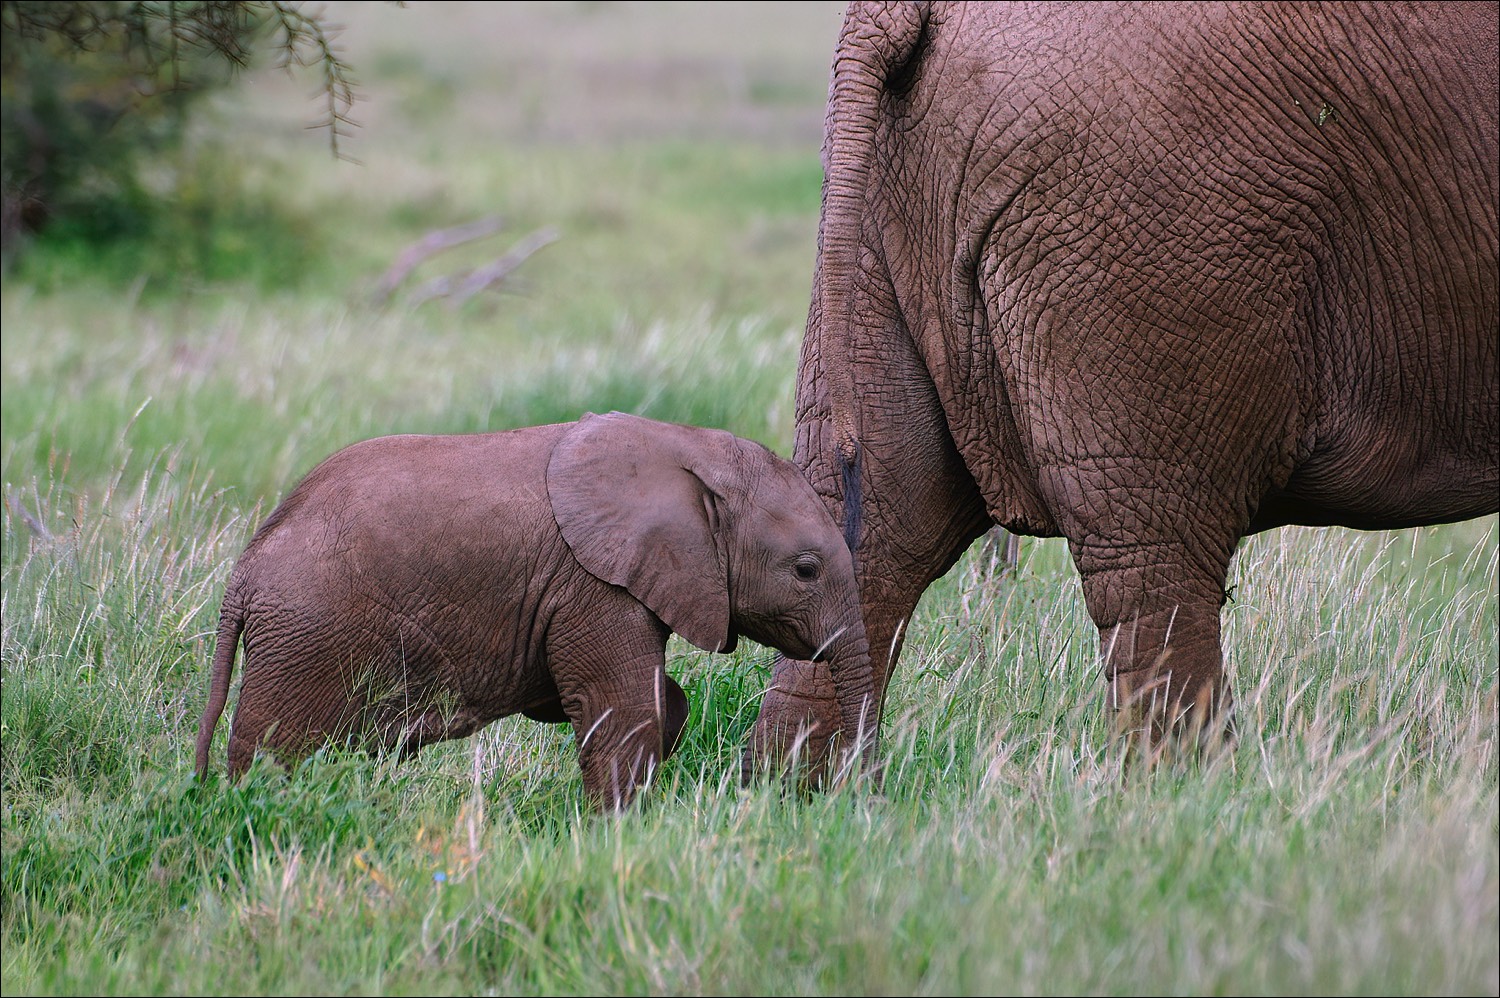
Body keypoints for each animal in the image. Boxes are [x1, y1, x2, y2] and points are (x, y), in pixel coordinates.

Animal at [199, 408, 876, 804]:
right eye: (806, 570)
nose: (853, 801)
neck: (690, 450)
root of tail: (243, 575)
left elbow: (653, 700)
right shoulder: (594, 585)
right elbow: (621, 706)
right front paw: (620, 832)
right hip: (305, 636)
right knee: (275, 750)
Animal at [744, 1, 1494, 780]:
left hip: (880, 219)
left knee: (877, 531)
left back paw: (801, 791)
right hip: (1150, 229)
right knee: (1154, 559)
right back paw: (1190, 792)